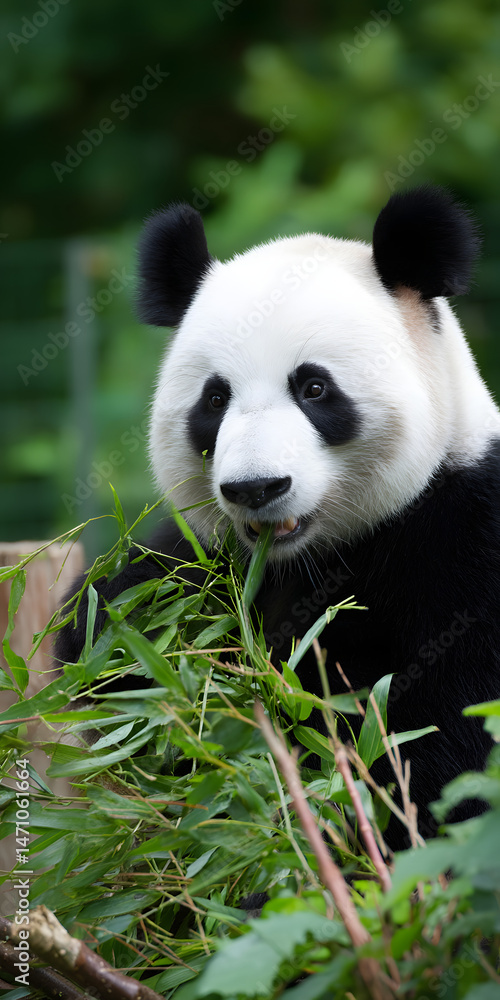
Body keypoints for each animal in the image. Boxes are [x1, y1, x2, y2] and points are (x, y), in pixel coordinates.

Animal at [55, 185, 500, 850]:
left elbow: (451, 742)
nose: (256, 488)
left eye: (314, 388)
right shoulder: (200, 559)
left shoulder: (463, 537)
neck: (312, 559)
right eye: (215, 399)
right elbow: (109, 650)